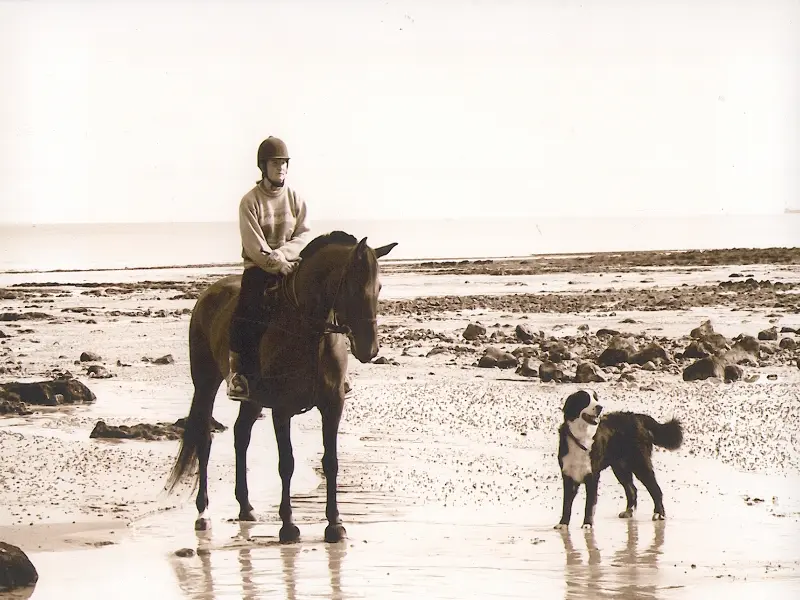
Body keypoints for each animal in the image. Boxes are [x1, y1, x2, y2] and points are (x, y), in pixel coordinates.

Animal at [166, 231, 396, 544]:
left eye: (379, 287)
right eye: (353, 286)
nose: (369, 349)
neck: (309, 333)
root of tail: (207, 295)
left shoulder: (332, 405)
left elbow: (331, 462)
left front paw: (334, 524)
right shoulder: (282, 409)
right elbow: (286, 463)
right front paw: (288, 526)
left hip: (252, 400)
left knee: (241, 435)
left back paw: (246, 507)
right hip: (205, 384)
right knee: (204, 438)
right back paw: (204, 513)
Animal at [552, 386, 684, 528]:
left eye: (596, 399)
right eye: (585, 399)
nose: (600, 407)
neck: (581, 437)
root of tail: (637, 417)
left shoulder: (592, 475)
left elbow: (589, 505)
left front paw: (587, 524)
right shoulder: (568, 475)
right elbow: (566, 505)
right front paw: (563, 524)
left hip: (640, 463)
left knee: (656, 489)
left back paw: (659, 513)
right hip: (620, 467)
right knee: (632, 490)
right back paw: (629, 511)